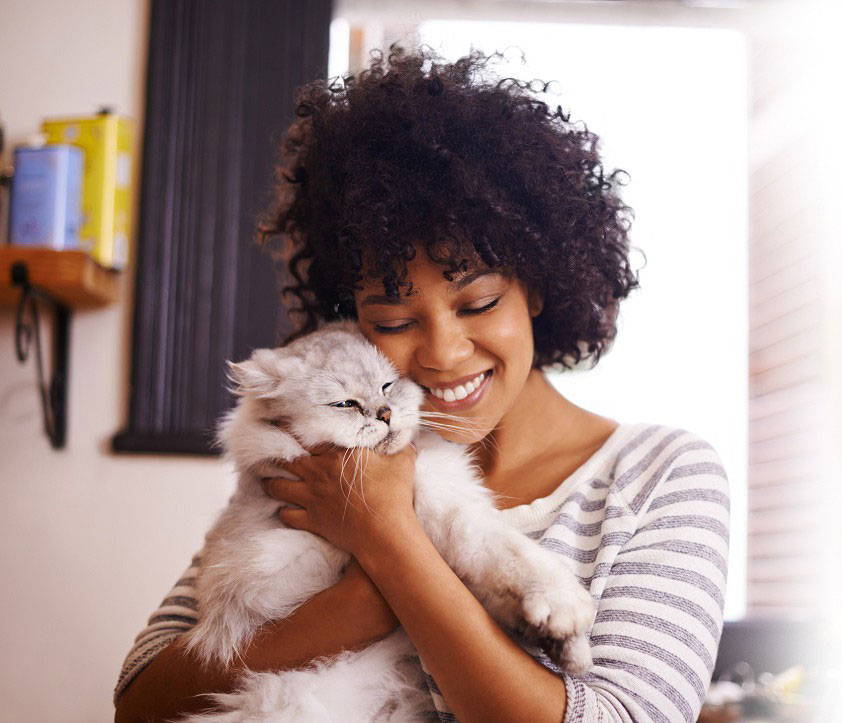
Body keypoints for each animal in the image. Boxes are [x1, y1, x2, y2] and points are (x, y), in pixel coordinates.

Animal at [180, 322, 592, 723]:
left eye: (387, 386)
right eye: (345, 404)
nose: (384, 414)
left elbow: (501, 583)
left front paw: (564, 644)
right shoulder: (441, 512)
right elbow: (509, 556)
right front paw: (563, 612)